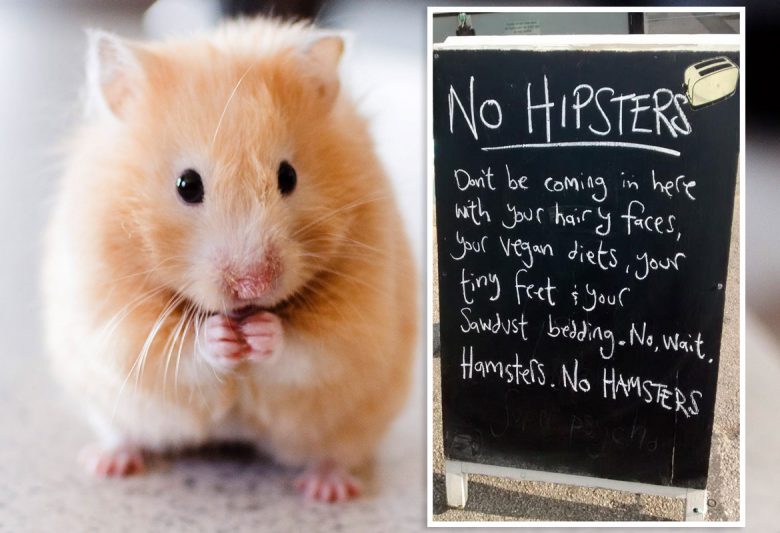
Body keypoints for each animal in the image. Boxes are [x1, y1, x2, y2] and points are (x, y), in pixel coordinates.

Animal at [42, 17, 416, 503]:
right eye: (187, 185)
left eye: (288, 176)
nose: (253, 286)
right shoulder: (113, 318)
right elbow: (176, 352)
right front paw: (221, 336)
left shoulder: (358, 322)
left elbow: (309, 350)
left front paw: (261, 333)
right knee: (123, 432)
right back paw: (107, 463)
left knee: (335, 452)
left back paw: (327, 489)